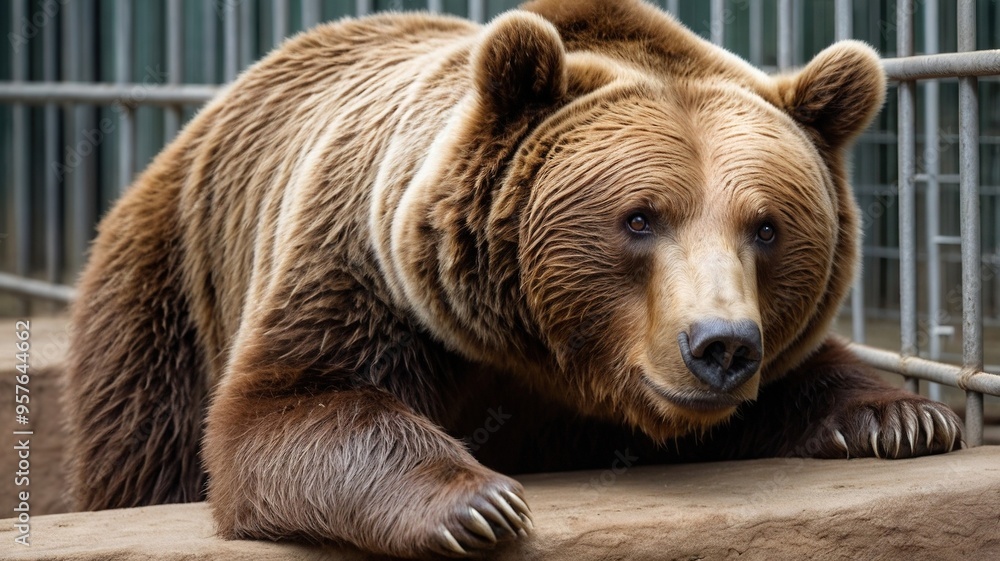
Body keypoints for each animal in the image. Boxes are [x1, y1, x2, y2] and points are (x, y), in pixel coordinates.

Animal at [64, 0, 964, 558]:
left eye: (767, 226)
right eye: (641, 217)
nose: (720, 346)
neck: (546, 355)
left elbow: (802, 375)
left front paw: (905, 416)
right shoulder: (365, 275)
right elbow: (286, 407)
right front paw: (476, 503)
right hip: (168, 288)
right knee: (147, 439)